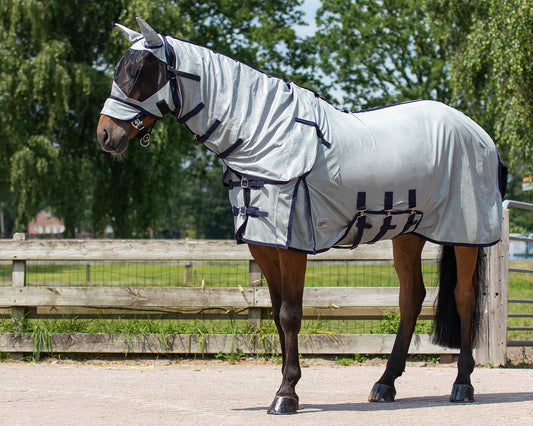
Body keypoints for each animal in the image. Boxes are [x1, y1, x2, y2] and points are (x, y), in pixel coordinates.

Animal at [96, 18, 508, 414]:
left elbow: (291, 314)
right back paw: (385, 384)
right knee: (412, 298)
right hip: (408, 234)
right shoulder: (264, 245)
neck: (265, 135)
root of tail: (481, 137)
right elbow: (277, 314)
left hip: (465, 234)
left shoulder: (292, 243)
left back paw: (462, 385)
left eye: (142, 72)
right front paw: (286, 385)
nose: (105, 135)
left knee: (464, 297)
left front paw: (286, 396)